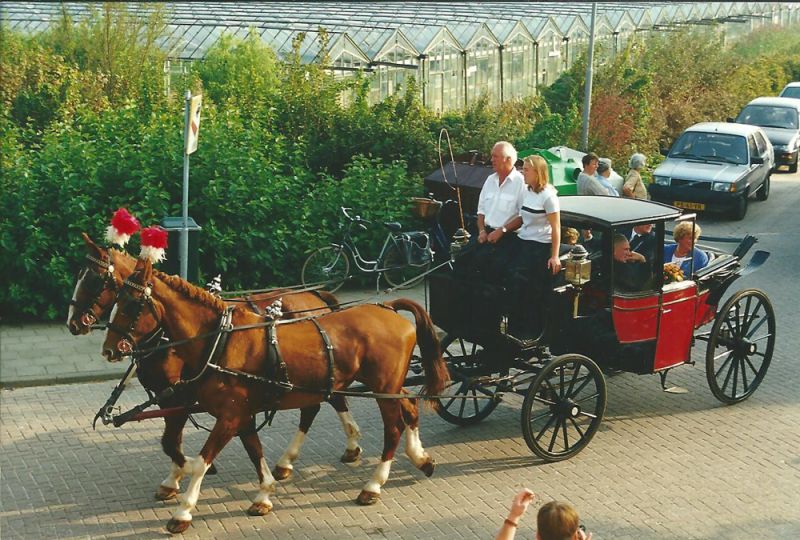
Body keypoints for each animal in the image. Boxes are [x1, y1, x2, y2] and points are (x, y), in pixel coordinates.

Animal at [69, 234, 362, 500]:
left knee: (323, 403)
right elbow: (173, 441)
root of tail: (315, 294)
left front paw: (181, 475)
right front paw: (179, 477)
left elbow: (171, 441)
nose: (73, 323)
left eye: (94, 279)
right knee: (323, 402)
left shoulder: (178, 397)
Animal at [102, 258, 446, 536]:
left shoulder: (228, 416)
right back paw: (420, 458)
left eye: (131, 304)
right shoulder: (240, 414)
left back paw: (373, 485)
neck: (220, 342)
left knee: (392, 428)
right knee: (408, 406)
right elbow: (254, 451)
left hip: (382, 387)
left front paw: (183, 510)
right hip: (386, 385)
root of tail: (389, 308)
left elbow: (200, 461)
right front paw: (264, 493)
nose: (109, 349)